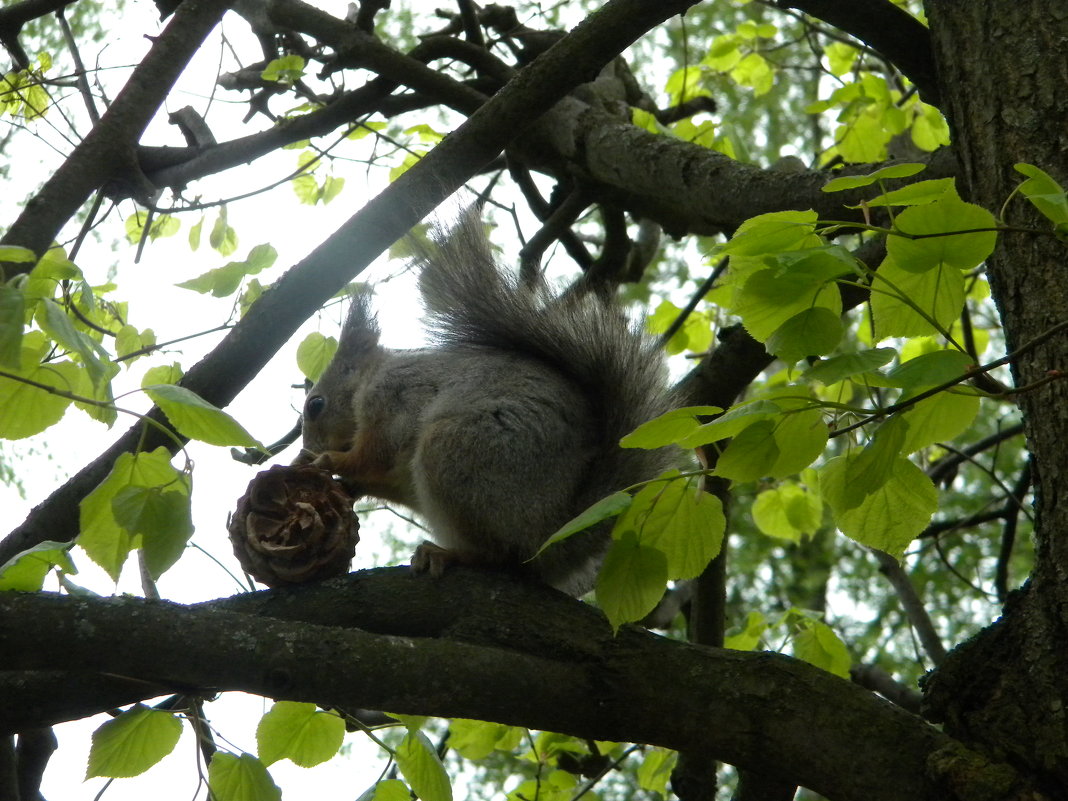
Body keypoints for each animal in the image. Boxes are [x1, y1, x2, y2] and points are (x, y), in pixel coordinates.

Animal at [296, 213, 670, 598]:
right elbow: (387, 478)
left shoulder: (395, 398)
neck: (371, 377)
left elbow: (374, 452)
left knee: (500, 555)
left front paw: (330, 460)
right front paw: (350, 485)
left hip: (457, 452)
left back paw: (448, 553)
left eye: (315, 405)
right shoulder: (400, 476)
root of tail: (550, 536)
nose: (307, 448)